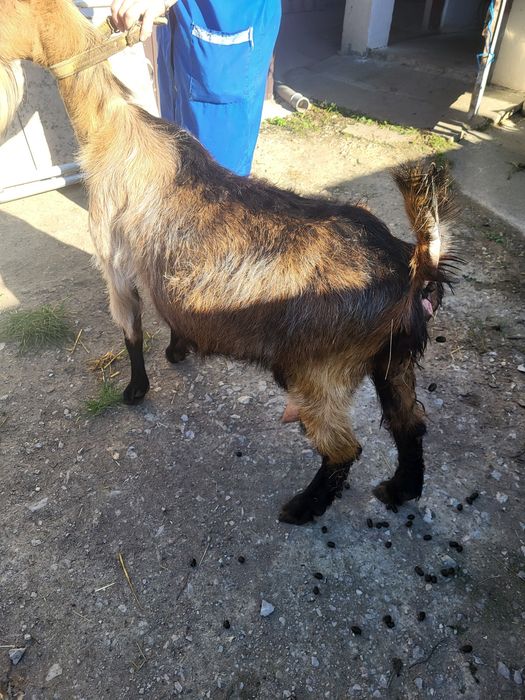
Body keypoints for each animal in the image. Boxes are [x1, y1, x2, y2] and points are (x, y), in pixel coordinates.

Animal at [0, 0, 456, 525]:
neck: (109, 124)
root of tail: (413, 264)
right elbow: (171, 314)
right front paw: (179, 350)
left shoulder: (114, 266)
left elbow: (131, 331)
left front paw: (136, 390)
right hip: (392, 360)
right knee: (410, 424)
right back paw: (400, 489)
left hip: (321, 371)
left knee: (344, 448)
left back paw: (301, 508)